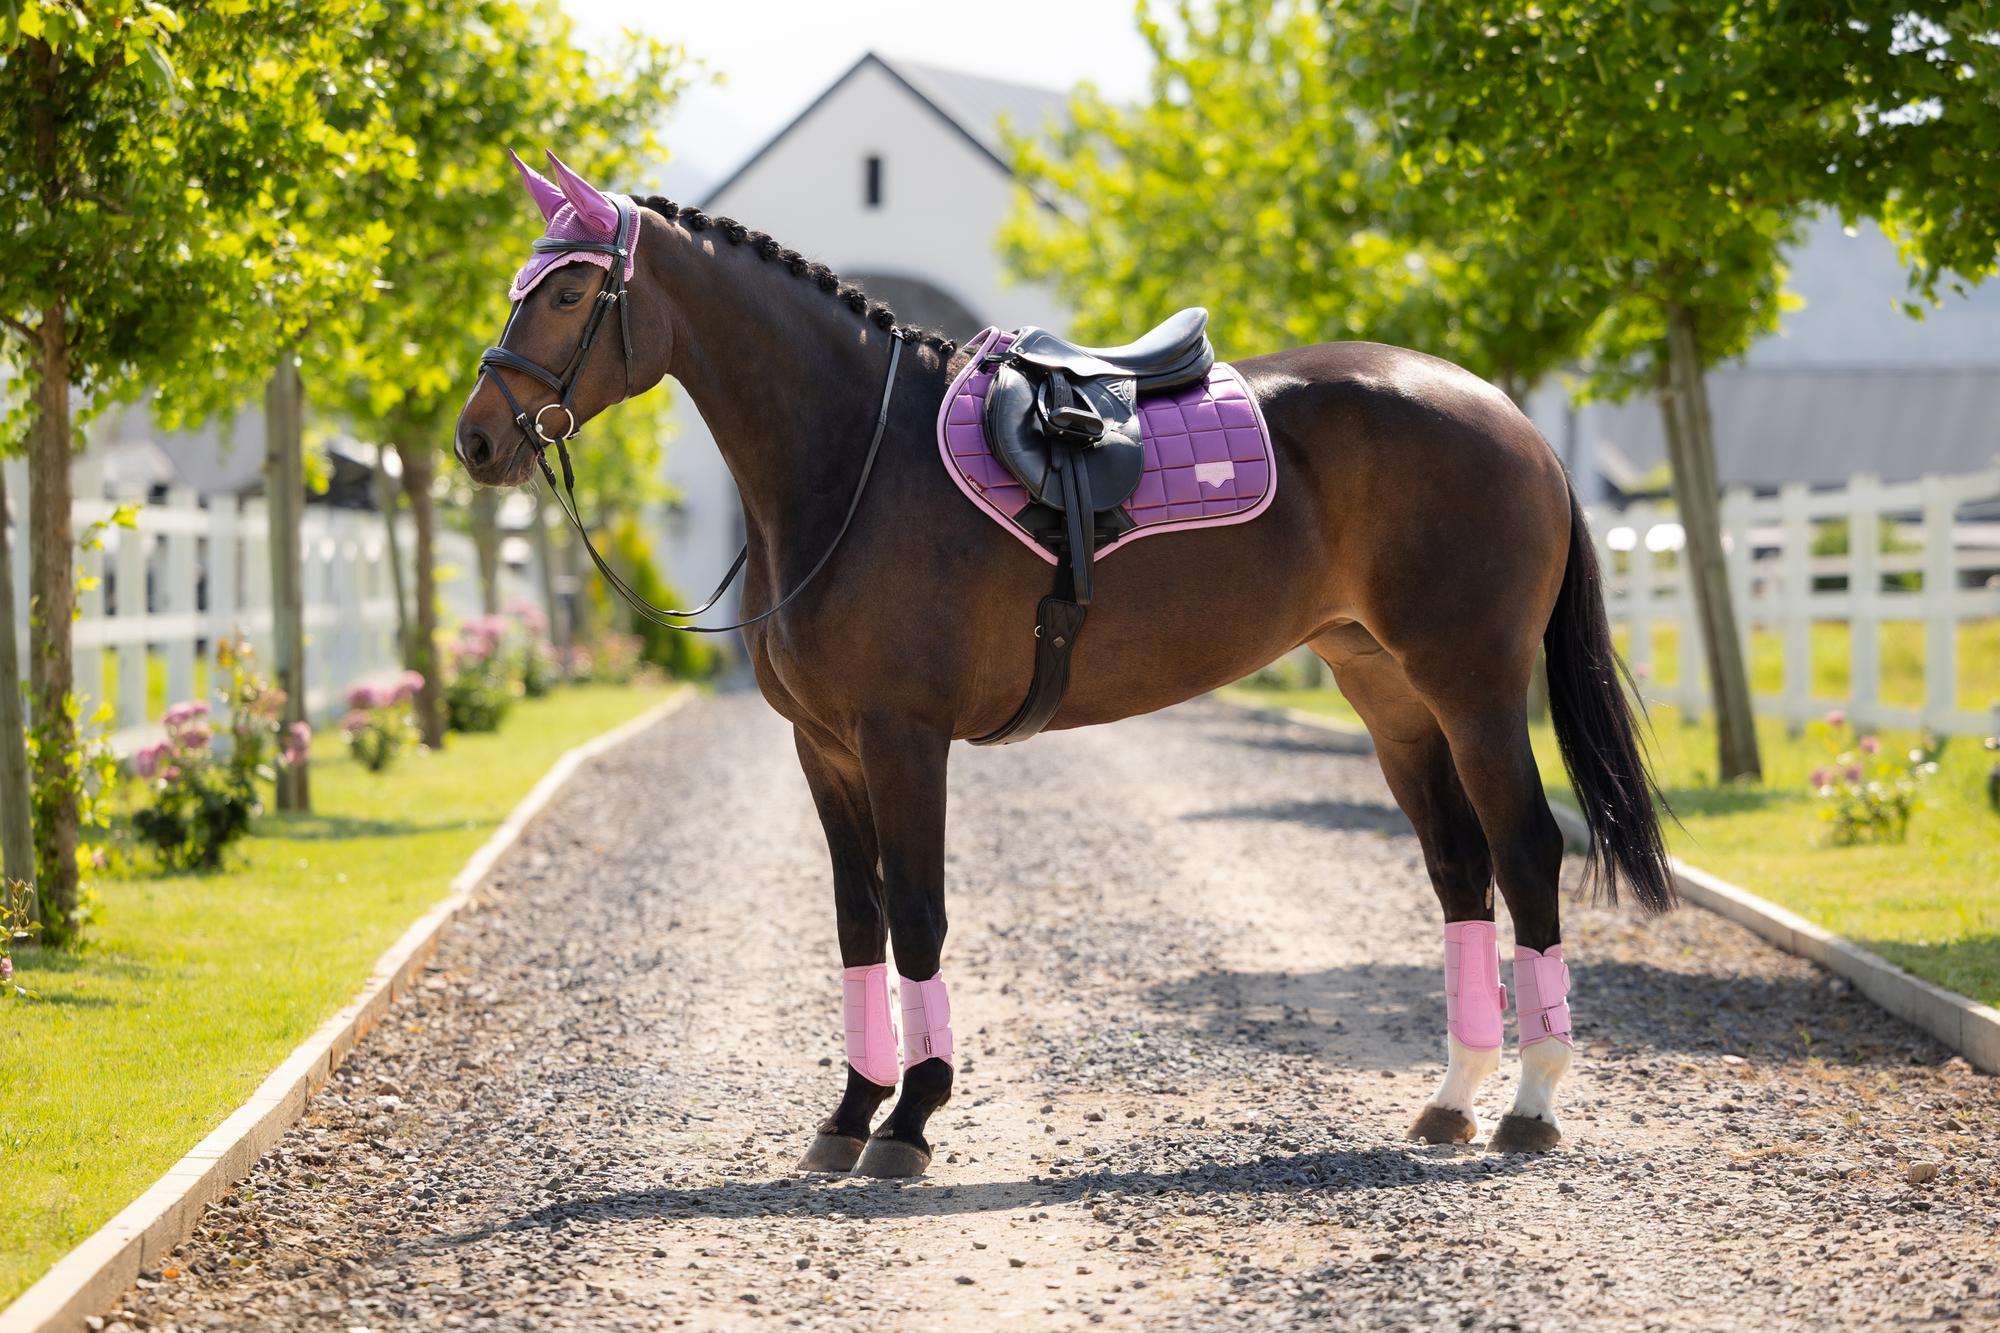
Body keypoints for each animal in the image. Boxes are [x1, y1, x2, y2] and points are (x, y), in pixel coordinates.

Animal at [454, 150, 1674, 1178]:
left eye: (568, 293)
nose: (476, 438)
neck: (854, 462)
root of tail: (1509, 417)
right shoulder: (823, 747)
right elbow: (856, 922)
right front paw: (849, 1112)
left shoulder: (904, 739)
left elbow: (918, 915)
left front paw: (911, 1119)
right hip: (1387, 692)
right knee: (1459, 869)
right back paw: (1452, 1098)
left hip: (1472, 687)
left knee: (1526, 851)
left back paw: (1529, 1104)